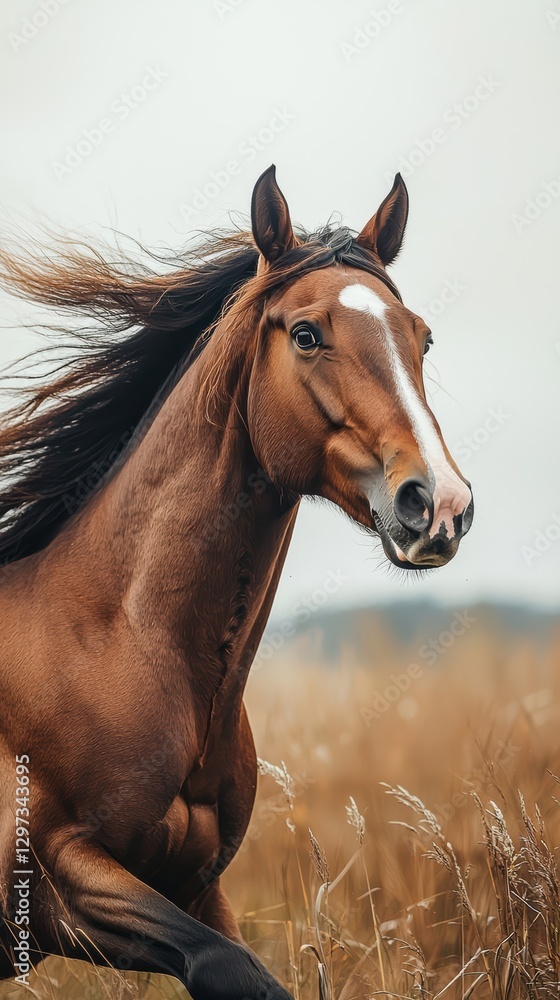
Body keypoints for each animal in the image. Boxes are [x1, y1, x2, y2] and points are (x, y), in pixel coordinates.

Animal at [0, 165, 473, 999]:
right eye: (307, 334)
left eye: (421, 337)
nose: (440, 505)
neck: (119, 642)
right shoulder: (57, 875)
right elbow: (232, 968)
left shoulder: (200, 887)